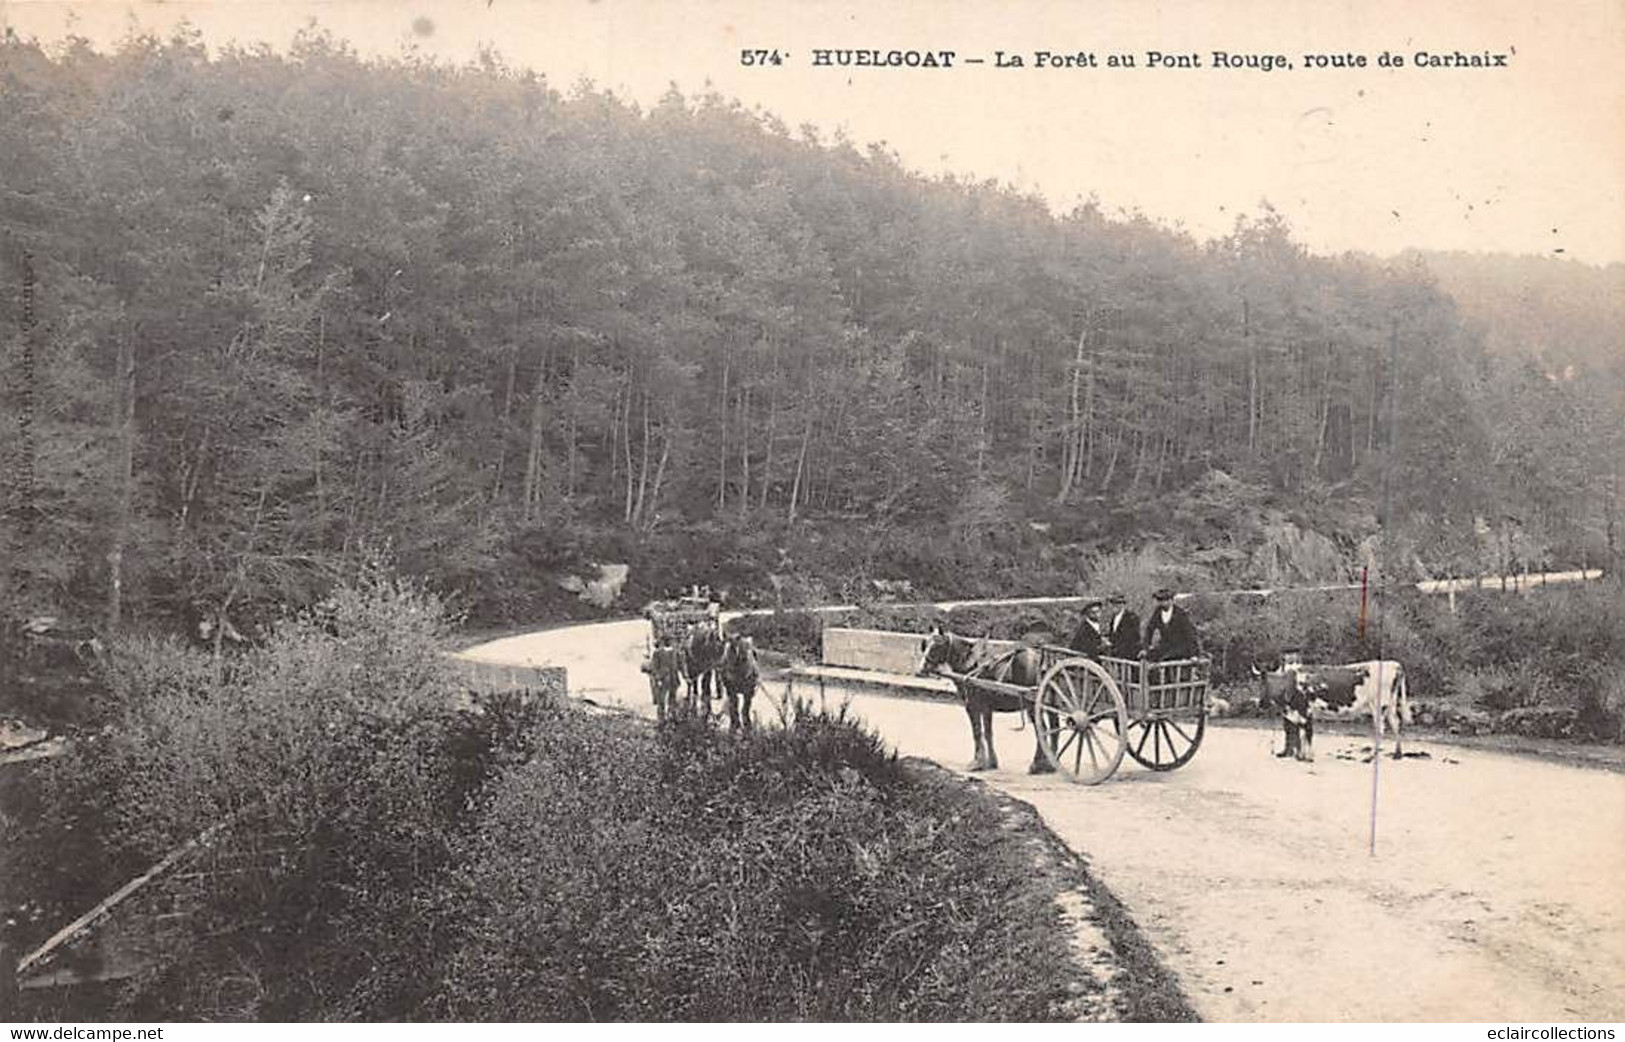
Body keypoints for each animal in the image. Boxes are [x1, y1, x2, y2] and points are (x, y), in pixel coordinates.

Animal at [916, 624, 1053, 773]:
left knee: (1041, 730)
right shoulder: (987, 708)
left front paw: (977, 762)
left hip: (1031, 704)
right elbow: (987, 732)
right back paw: (1048, 763)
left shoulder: (972, 705)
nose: (921, 669)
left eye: (937, 645)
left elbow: (977, 732)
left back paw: (1037, 764)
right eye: (925, 644)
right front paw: (991, 762)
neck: (970, 664)